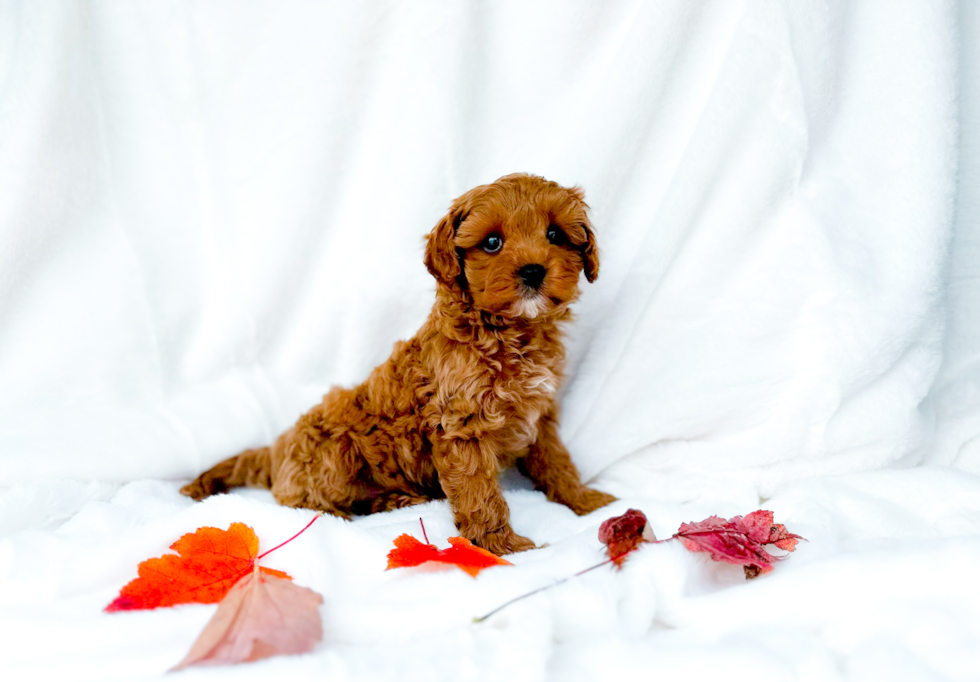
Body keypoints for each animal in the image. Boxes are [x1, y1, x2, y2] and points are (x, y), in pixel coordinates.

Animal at [181, 171, 616, 552]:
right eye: (492, 242)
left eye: (555, 235)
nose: (533, 271)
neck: (510, 334)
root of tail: (276, 449)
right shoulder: (463, 425)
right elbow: (479, 491)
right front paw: (501, 545)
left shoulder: (539, 416)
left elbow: (557, 462)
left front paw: (586, 501)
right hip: (333, 450)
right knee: (309, 504)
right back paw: (379, 504)